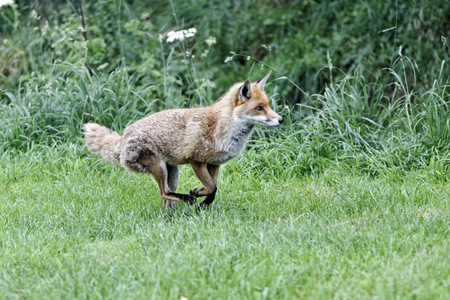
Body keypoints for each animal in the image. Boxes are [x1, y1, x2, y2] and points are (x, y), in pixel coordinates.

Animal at [82, 71, 284, 210]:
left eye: (268, 106)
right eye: (259, 108)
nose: (281, 120)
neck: (223, 128)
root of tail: (124, 136)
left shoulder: (214, 163)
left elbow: (214, 188)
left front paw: (204, 204)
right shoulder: (196, 160)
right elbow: (211, 187)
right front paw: (198, 196)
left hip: (173, 171)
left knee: (166, 196)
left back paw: (173, 214)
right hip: (159, 167)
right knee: (164, 193)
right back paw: (185, 199)